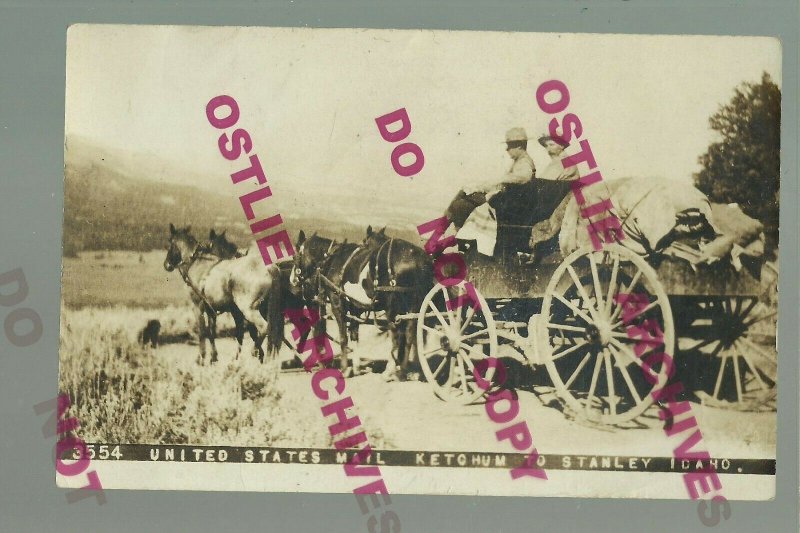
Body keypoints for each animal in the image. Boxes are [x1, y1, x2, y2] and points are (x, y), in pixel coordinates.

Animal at [164, 222, 282, 364]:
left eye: (170, 242)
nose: (167, 265)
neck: (196, 262)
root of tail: (269, 269)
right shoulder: (212, 309)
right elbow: (212, 332)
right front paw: (213, 357)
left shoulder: (198, 306)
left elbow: (202, 332)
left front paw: (201, 358)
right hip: (267, 308)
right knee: (273, 331)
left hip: (249, 309)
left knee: (264, 327)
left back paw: (254, 351)